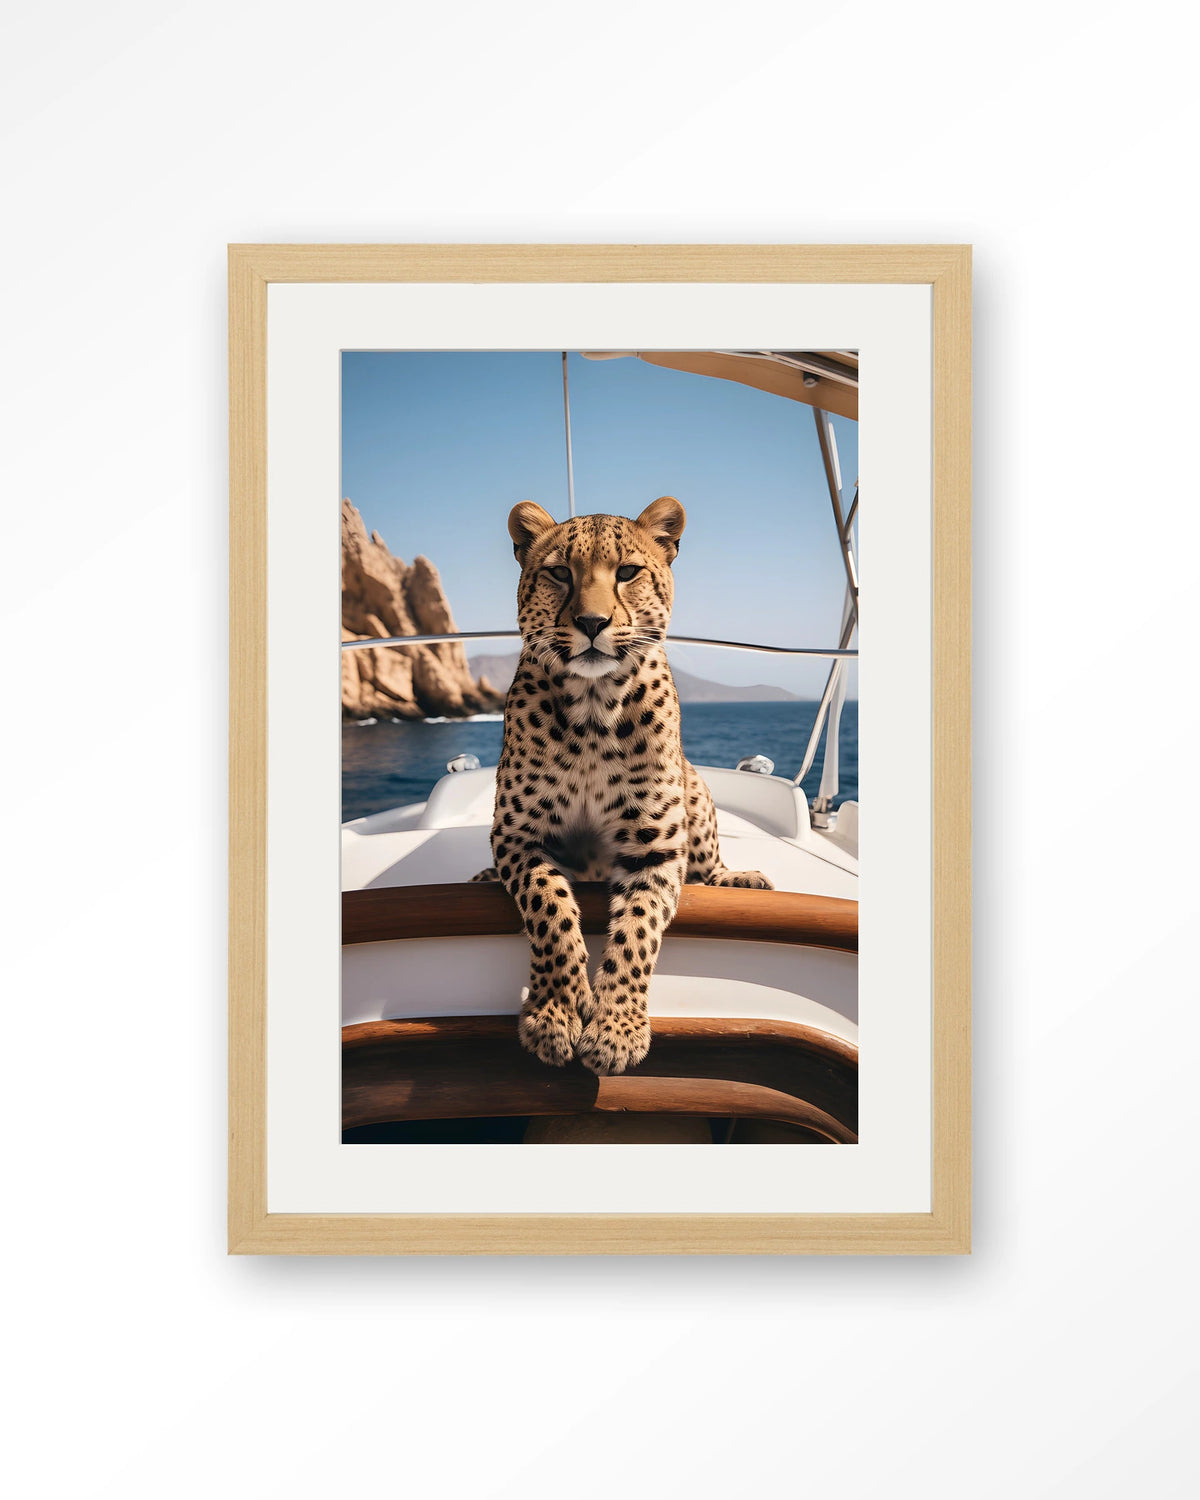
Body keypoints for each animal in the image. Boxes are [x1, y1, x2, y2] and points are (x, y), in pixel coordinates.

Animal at [470, 496, 773, 1076]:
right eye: (560, 573)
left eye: (628, 572)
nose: (592, 622)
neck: (593, 709)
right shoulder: (518, 835)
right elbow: (550, 908)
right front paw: (557, 1013)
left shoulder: (655, 848)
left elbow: (636, 932)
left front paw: (616, 1029)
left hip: (696, 790)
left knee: (708, 865)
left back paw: (738, 879)